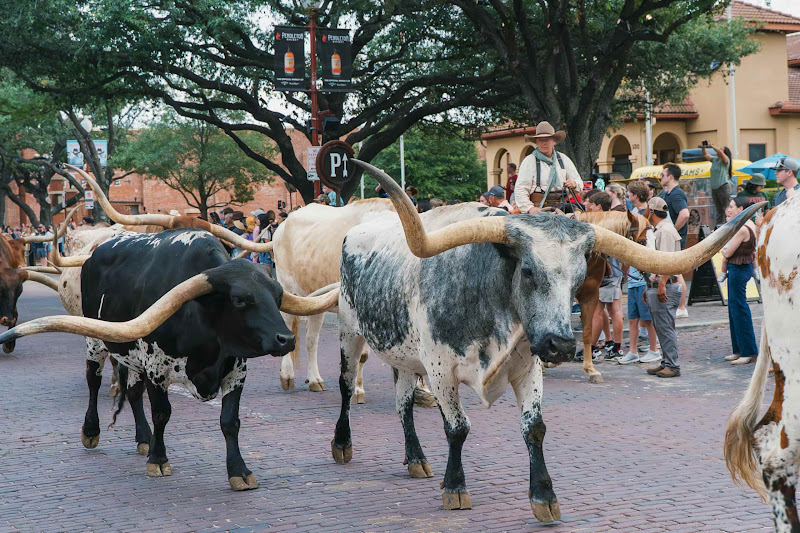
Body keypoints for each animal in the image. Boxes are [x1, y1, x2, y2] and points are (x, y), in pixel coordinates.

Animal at [0, 226, 338, 490]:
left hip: (131, 356)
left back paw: (143, 438)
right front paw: (159, 460)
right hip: (96, 342)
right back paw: (92, 432)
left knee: (132, 394)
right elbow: (163, 413)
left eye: (278, 296)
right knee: (93, 383)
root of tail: (99, 249)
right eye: (240, 300)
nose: (287, 339)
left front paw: (239, 472)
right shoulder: (157, 368)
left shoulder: (236, 372)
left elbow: (230, 421)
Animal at [330, 160, 763, 522]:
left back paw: (415, 459)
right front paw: (455, 488)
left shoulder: (526, 365)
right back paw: (342, 444)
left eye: (578, 276)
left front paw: (543, 496)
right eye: (527, 271)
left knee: (403, 403)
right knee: (346, 386)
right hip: (350, 332)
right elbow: (457, 427)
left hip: (404, 356)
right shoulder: (440, 370)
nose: (560, 345)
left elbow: (534, 428)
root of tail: (357, 230)